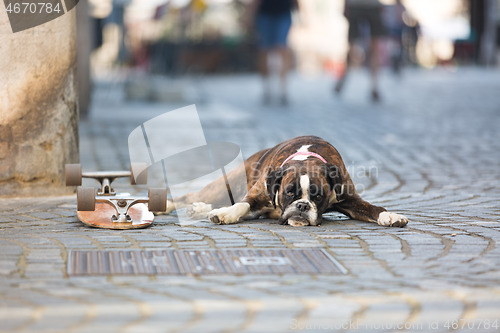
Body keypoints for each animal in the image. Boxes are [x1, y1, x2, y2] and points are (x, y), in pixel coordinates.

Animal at [162, 135, 408, 226]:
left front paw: (390, 215)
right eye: (289, 192)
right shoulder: (257, 194)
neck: (306, 157)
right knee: (192, 195)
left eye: (318, 196)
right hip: (225, 186)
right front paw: (225, 214)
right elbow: (242, 204)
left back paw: (199, 209)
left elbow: (372, 208)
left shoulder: (350, 199)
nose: (302, 206)